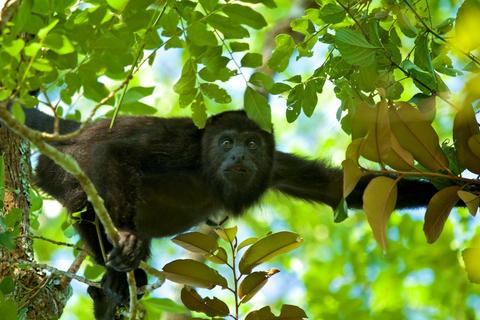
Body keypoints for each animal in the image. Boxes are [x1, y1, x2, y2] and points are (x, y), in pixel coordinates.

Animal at [17, 108, 438, 320]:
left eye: (251, 144)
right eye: (225, 142)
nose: (238, 155)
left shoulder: (274, 165)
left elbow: (342, 189)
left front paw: (451, 190)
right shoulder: (182, 143)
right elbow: (113, 153)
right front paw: (124, 239)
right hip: (54, 168)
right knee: (84, 195)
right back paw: (116, 280)